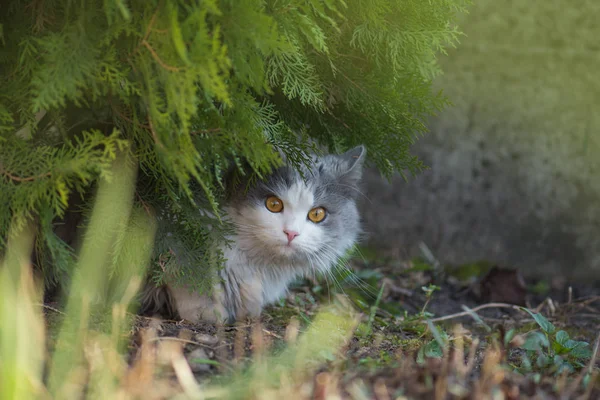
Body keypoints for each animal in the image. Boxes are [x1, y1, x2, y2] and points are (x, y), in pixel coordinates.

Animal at [143, 145, 366, 324]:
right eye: (274, 204)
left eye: (317, 214)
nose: (291, 233)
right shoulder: (178, 234)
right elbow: (190, 276)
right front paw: (206, 312)